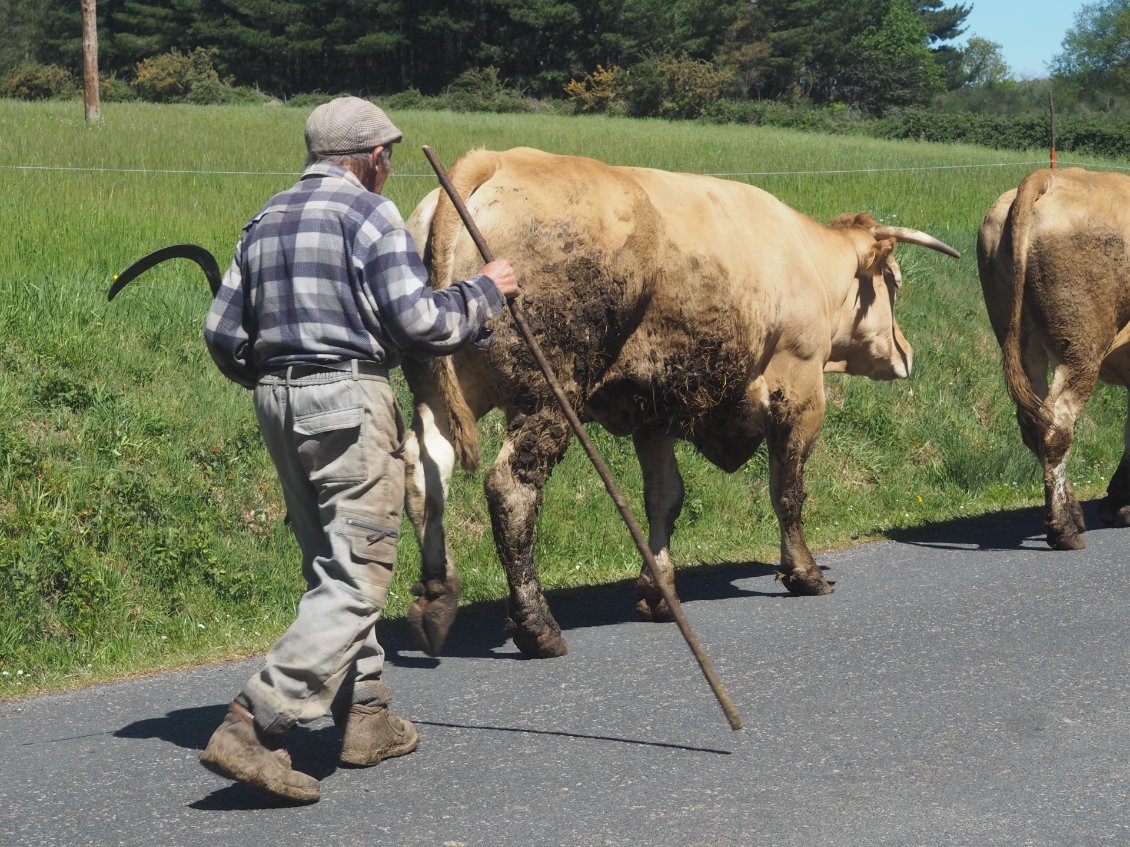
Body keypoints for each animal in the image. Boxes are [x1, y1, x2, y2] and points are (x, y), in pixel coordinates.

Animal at [401, 146, 959, 659]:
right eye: (896, 282)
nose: (907, 353)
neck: (804, 258)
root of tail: (500, 159)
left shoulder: (656, 412)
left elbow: (664, 499)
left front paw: (659, 593)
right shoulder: (800, 390)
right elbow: (787, 492)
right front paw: (805, 573)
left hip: (444, 388)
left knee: (425, 471)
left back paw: (436, 603)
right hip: (548, 393)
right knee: (512, 488)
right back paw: (536, 625)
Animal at [978, 166, 1130, 550]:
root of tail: (1050, 176)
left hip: (1019, 336)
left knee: (1034, 419)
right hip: (1079, 346)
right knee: (1058, 422)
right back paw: (1064, 530)